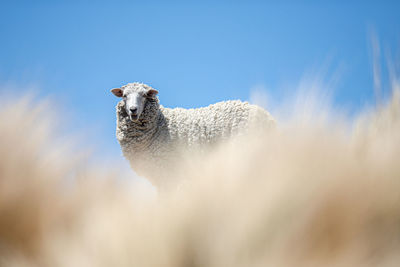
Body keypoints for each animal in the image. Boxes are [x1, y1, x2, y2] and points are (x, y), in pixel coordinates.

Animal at [111, 82, 276, 189]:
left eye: (144, 95)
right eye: (124, 96)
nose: (133, 110)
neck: (159, 123)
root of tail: (268, 117)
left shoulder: (168, 171)